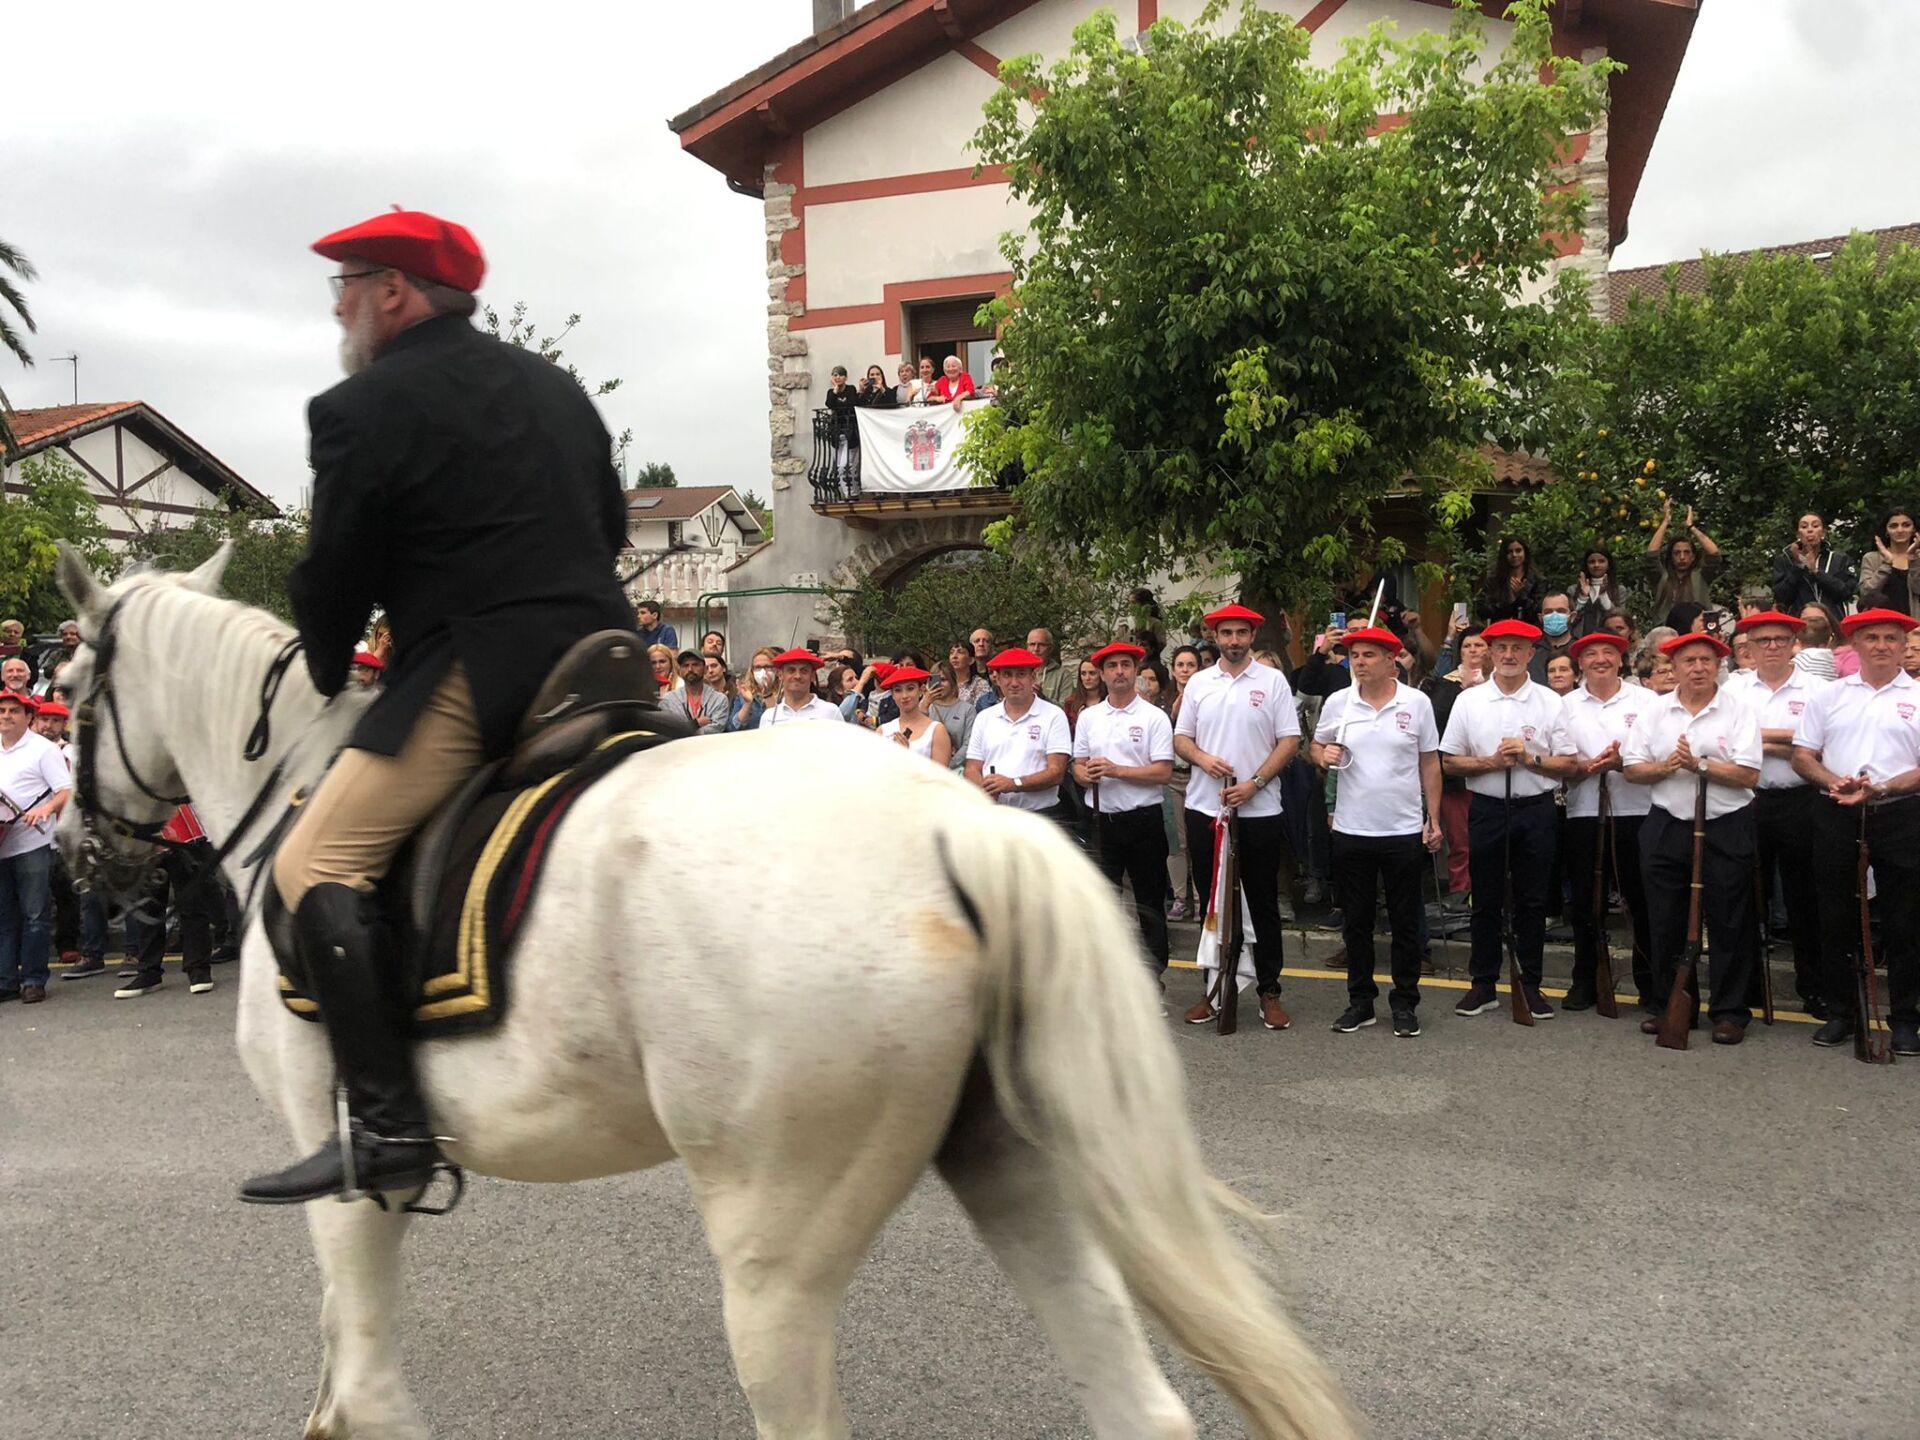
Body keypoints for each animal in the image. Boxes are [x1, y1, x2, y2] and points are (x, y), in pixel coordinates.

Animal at [54, 546, 1359, 1440]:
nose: (82, 857)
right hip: (1012, 1164)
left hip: (774, 1252)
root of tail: (955, 828)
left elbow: (361, 1381)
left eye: (65, 691)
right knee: (1141, 1405)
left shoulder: (339, 1158)